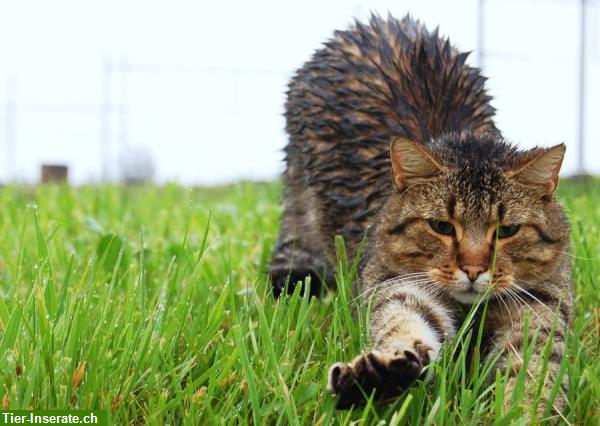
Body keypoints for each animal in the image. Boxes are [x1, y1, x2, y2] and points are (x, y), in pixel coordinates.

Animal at [270, 14, 576, 416]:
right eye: (441, 226)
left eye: (507, 230)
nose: (474, 270)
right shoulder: (397, 282)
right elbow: (405, 322)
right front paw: (380, 376)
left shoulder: (540, 305)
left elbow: (534, 370)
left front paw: (522, 412)